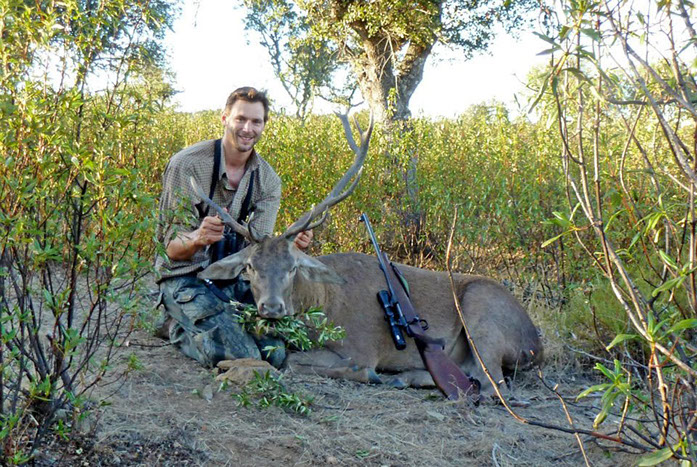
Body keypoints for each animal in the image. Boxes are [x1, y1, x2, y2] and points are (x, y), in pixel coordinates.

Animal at [192, 114, 543, 400]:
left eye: (293, 268)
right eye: (250, 266)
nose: (272, 307)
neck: (322, 307)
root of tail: (537, 346)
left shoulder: (361, 347)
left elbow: (295, 362)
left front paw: (367, 374)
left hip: (483, 314)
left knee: (492, 383)